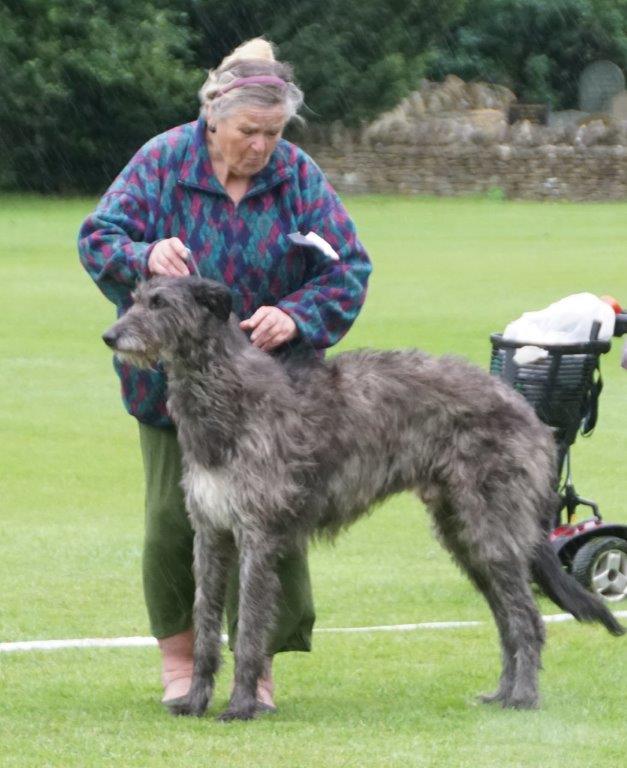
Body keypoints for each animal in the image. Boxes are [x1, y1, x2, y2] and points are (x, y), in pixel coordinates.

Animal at [103, 280, 624, 724]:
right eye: (135, 298)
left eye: (159, 303)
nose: (110, 336)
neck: (226, 395)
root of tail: (525, 408)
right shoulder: (211, 532)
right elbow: (206, 626)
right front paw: (194, 701)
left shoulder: (258, 534)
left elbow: (249, 628)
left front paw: (242, 706)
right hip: (465, 535)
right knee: (506, 619)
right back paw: (502, 693)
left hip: (491, 529)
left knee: (527, 618)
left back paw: (523, 698)